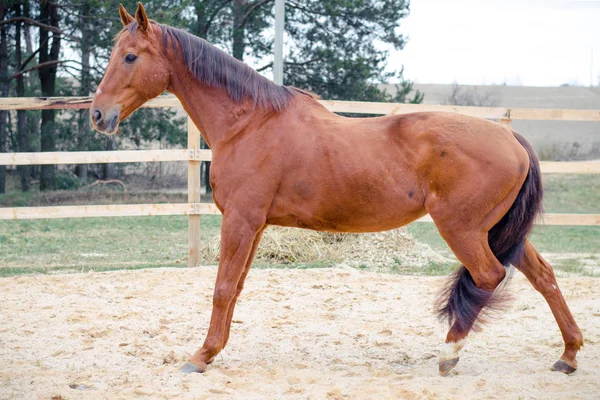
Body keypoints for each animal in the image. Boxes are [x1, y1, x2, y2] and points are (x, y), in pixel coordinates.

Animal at [91, 4, 584, 376]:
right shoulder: (255, 225)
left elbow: (223, 287)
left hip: (464, 230)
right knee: (545, 277)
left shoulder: (242, 220)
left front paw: (200, 356)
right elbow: (237, 286)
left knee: (488, 277)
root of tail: (510, 136)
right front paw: (214, 350)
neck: (249, 122)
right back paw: (568, 354)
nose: (98, 115)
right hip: (501, 232)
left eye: (130, 56)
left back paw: (449, 354)